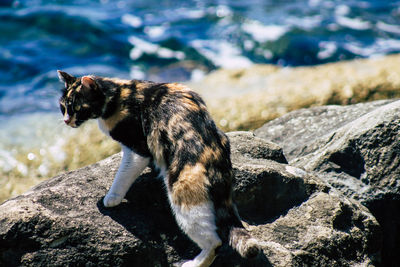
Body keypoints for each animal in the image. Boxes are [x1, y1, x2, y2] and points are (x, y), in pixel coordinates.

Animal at [58, 70, 260, 266]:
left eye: (77, 107)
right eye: (62, 106)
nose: (66, 120)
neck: (116, 94)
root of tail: (219, 164)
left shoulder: (137, 148)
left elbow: (122, 174)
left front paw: (111, 198)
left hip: (185, 202)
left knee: (214, 242)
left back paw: (194, 263)